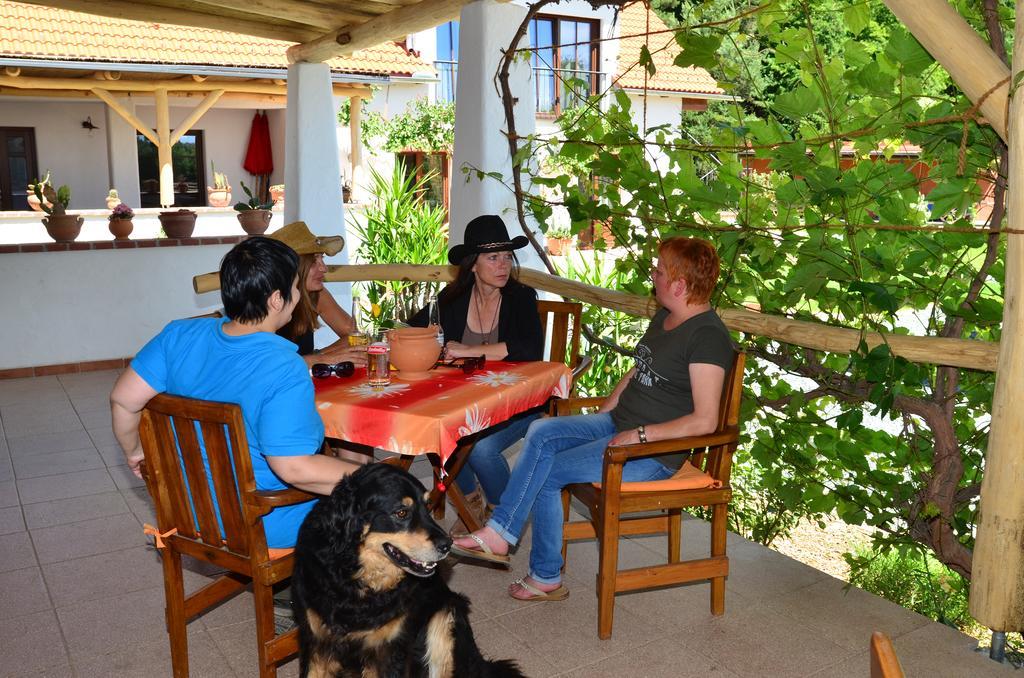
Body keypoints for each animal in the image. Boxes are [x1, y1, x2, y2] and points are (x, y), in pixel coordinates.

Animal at [290, 464, 524, 675]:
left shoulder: (390, 649)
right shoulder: (315, 642)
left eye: (428, 507)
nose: (447, 545)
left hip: (446, 620)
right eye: (402, 512)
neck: (360, 583)